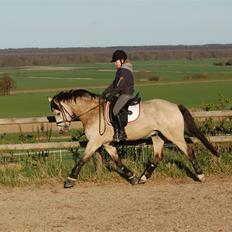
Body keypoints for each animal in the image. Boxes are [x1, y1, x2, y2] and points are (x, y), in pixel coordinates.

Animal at [48, 89, 218, 188]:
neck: (93, 113)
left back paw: (200, 176)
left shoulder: (95, 142)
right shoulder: (107, 144)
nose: (62, 129)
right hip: (157, 136)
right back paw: (143, 178)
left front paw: (70, 180)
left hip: (174, 135)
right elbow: (117, 161)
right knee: (158, 157)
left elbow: (82, 160)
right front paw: (132, 177)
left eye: (57, 112)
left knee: (188, 151)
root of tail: (175, 106)